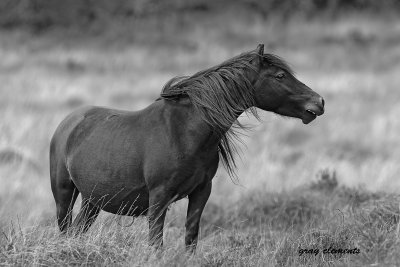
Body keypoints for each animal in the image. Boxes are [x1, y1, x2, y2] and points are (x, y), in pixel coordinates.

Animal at [50, 44, 324, 251]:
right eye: (280, 76)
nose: (319, 102)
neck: (184, 132)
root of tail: (68, 122)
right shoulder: (159, 197)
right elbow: (156, 243)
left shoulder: (201, 192)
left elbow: (191, 236)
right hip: (65, 194)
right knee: (64, 228)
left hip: (91, 200)